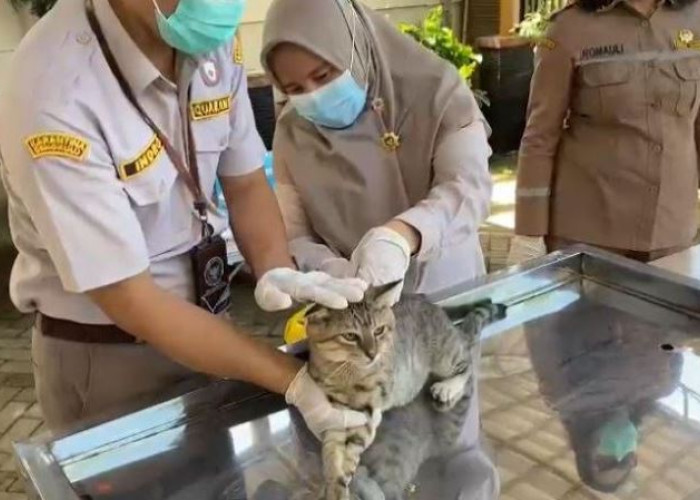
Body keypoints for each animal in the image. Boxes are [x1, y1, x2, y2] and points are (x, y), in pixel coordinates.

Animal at [304, 284, 506, 500]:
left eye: (378, 331)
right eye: (350, 336)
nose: (373, 354)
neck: (342, 372)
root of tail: (433, 306)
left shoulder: (366, 415)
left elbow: (350, 454)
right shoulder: (336, 415)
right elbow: (332, 454)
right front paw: (334, 483)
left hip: (444, 357)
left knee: (467, 362)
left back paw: (447, 387)